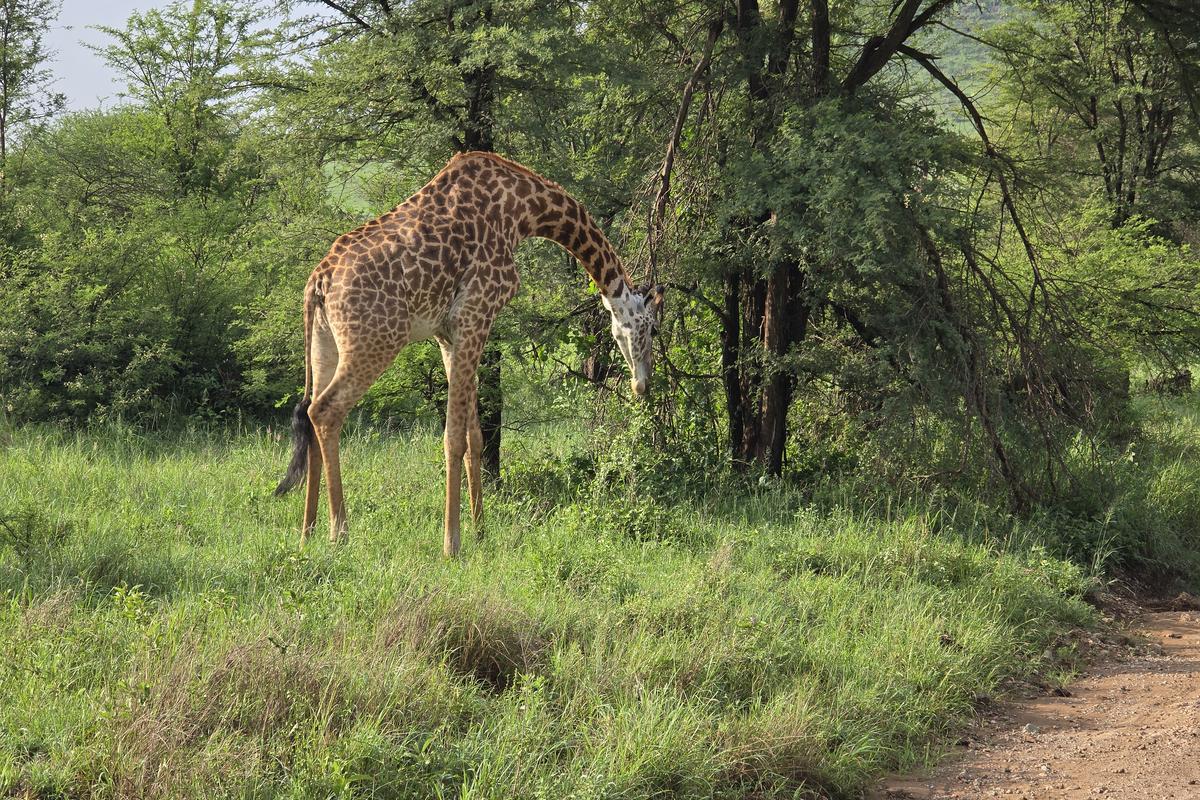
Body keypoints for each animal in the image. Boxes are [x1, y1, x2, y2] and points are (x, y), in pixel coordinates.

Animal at [274, 151, 665, 557]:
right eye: (653, 328)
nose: (643, 384)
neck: (524, 210)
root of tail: (318, 282)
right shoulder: (476, 313)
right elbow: (454, 437)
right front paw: (452, 543)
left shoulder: (449, 333)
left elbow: (475, 436)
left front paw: (481, 531)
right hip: (377, 340)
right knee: (326, 411)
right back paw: (339, 533)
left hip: (324, 344)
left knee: (310, 412)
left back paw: (307, 533)